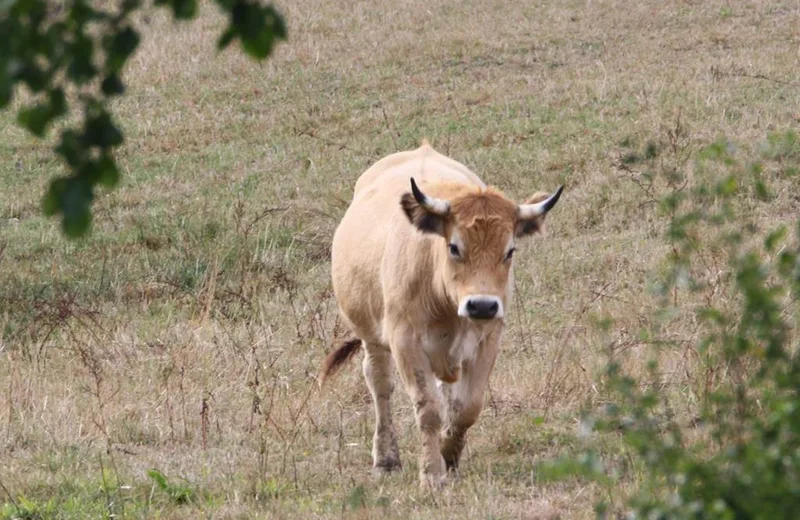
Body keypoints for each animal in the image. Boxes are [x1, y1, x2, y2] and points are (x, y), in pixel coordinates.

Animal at [320, 142, 564, 488]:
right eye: (454, 247)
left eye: (510, 251)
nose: (482, 305)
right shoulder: (405, 342)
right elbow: (428, 409)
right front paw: (432, 474)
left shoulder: (488, 339)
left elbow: (466, 407)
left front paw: (449, 457)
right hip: (371, 336)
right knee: (380, 384)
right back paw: (386, 458)